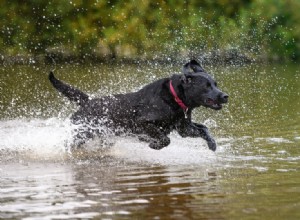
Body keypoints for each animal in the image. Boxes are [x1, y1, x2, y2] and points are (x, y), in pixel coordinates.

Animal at [48, 59, 227, 151]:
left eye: (215, 84)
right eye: (206, 86)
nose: (225, 96)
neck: (174, 97)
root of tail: (87, 102)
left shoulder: (183, 128)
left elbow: (204, 129)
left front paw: (212, 144)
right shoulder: (142, 123)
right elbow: (165, 139)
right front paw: (153, 144)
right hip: (81, 134)